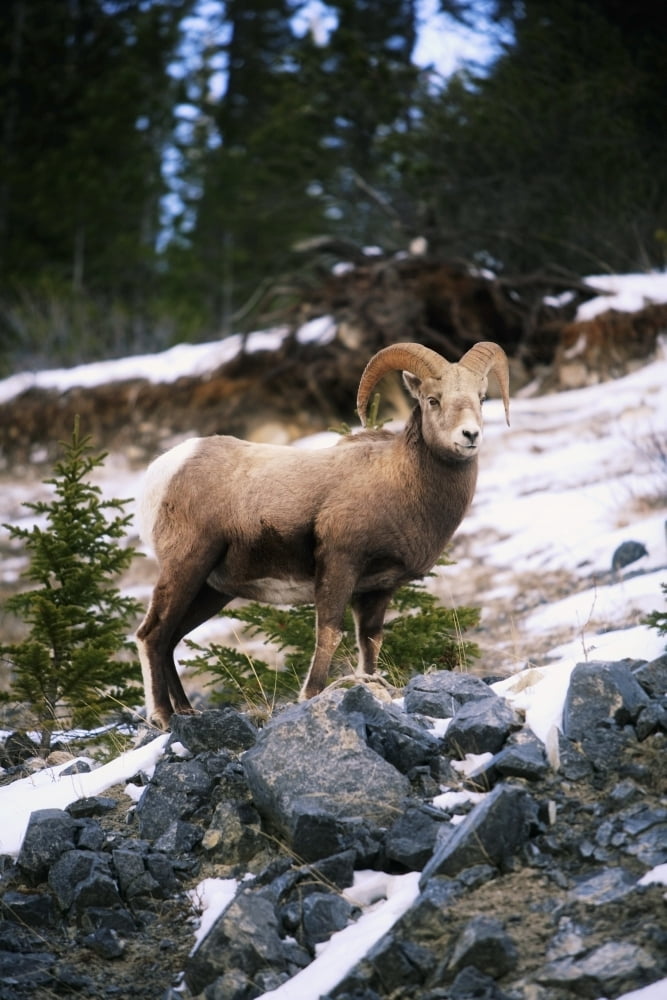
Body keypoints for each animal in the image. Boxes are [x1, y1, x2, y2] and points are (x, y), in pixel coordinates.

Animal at [136, 341, 510, 729]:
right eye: (433, 399)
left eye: (481, 398)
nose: (470, 436)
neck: (400, 481)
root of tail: (164, 469)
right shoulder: (339, 566)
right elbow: (329, 632)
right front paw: (311, 694)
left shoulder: (378, 589)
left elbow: (370, 641)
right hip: (186, 567)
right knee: (152, 635)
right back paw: (162, 716)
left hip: (212, 590)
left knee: (171, 639)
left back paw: (186, 712)